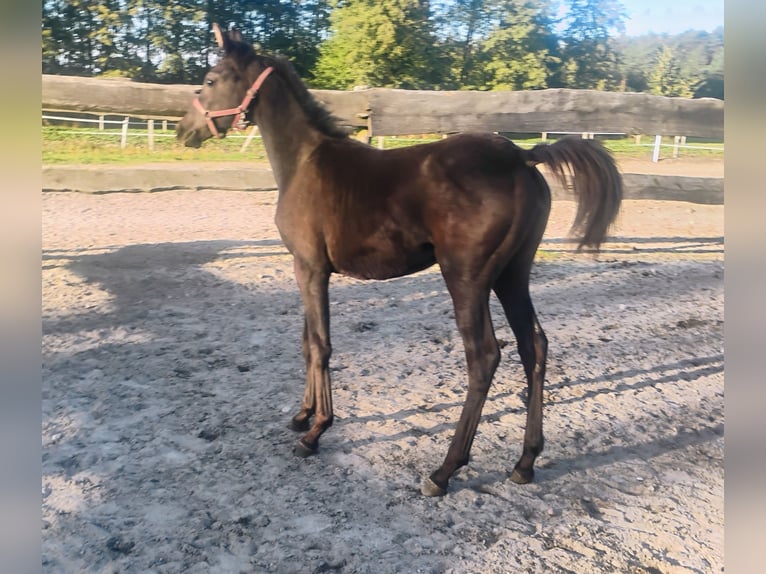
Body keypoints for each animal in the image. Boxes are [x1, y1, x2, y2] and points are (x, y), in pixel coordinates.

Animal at [177, 24, 620, 498]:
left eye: (210, 79)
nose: (184, 131)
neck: (304, 162)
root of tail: (521, 156)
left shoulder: (311, 268)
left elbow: (321, 344)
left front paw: (316, 431)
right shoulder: (304, 267)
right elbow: (307, 341)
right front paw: (302, 415)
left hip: (467, 277)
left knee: (484, 356)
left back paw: (444, 470)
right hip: (513, 274)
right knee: (533, 344)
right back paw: (525, 462)